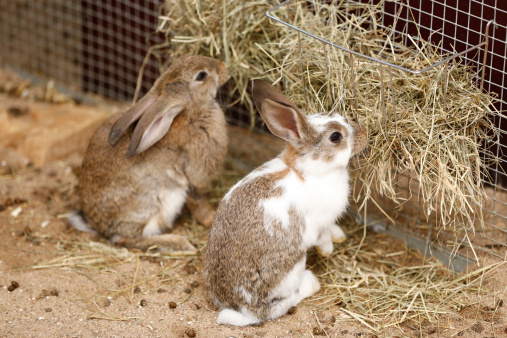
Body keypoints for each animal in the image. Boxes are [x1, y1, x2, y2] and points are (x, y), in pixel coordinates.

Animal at [68, 55, 229, 255]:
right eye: (201, 75)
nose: (224, 68)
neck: (190, 114)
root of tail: (96, 225)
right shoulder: (194, 177)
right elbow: (199, 204)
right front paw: (210, 220)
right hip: (146, 205)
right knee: (125, 240)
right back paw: (177, 243)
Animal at [206, 78, 370, 324]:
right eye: (335, 137)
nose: (366, 134)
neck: (310, 169)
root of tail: (243, 311)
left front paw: (339, 236)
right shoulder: (317, 223)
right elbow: (322, 237)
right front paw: (328, 250)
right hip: (291, 269)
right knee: (278, 307)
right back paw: (311, 283)